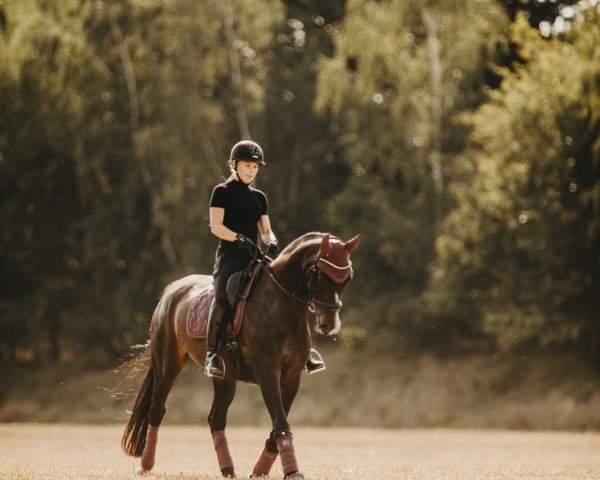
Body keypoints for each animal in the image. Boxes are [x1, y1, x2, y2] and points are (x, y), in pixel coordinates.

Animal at [119, 232, 358, 476]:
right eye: (322, 277)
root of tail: (171, 290)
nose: (330, 325)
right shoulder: (267, 374)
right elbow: (281, 423)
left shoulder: (291, 378)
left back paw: (228, 469)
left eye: (347, 278)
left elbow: (278, 425)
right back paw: (146, 466)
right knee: (156, 410)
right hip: (168, 365)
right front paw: (292, 472)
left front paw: (260, 470)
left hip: (225, 377)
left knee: (216, 418)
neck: (280, 304)